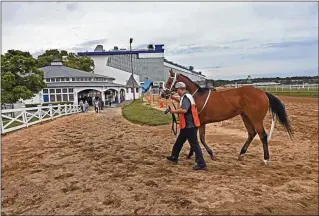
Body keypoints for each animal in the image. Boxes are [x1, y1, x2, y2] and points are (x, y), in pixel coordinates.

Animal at [164, 70, 294, 165]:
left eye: (169, 80)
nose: (163, 93)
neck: (196, 96)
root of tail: (263, 93)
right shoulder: (201, 122)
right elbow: (197, 138)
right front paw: (192, 154)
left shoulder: (199, 121)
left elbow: (199, 138)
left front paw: (210, 154)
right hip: (245, 116)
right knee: (251, 133)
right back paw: (241, 154)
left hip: (256, 119)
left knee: (263, 136)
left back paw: (266, 158)